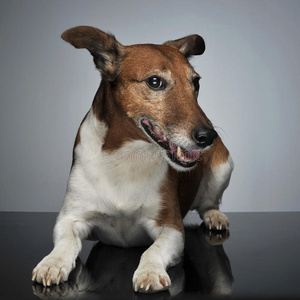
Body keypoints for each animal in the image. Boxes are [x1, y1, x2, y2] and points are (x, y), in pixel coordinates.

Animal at [32, 25, 234, 292]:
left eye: (196, 82)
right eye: (155, 82)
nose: (208, 136)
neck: (127, 155)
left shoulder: (170, 227)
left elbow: (152, 250)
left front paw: (149, 271)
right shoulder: (70, 217)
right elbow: (66, 242)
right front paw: (52, 263)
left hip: (224, 166)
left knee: (209, 202)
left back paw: (214, 216)